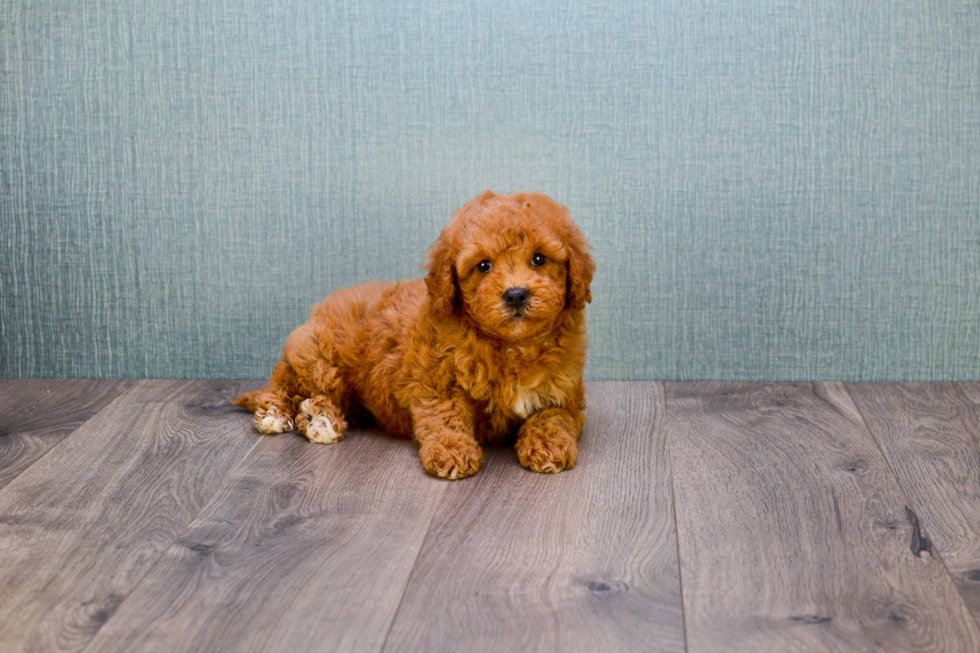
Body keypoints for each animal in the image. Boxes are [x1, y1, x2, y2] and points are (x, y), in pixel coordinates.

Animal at [234, 188, 592, 478]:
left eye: (538, 259)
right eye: (483, 266)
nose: (516, 294)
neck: (509, 345)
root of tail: (317, 312)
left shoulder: (564, 391)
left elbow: (555, 416)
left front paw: (548, 446)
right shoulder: (435, 381)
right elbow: (445, 417)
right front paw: (452, 451)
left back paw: (315, 418)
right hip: (318, 359)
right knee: (283, 386)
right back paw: (286, 415)